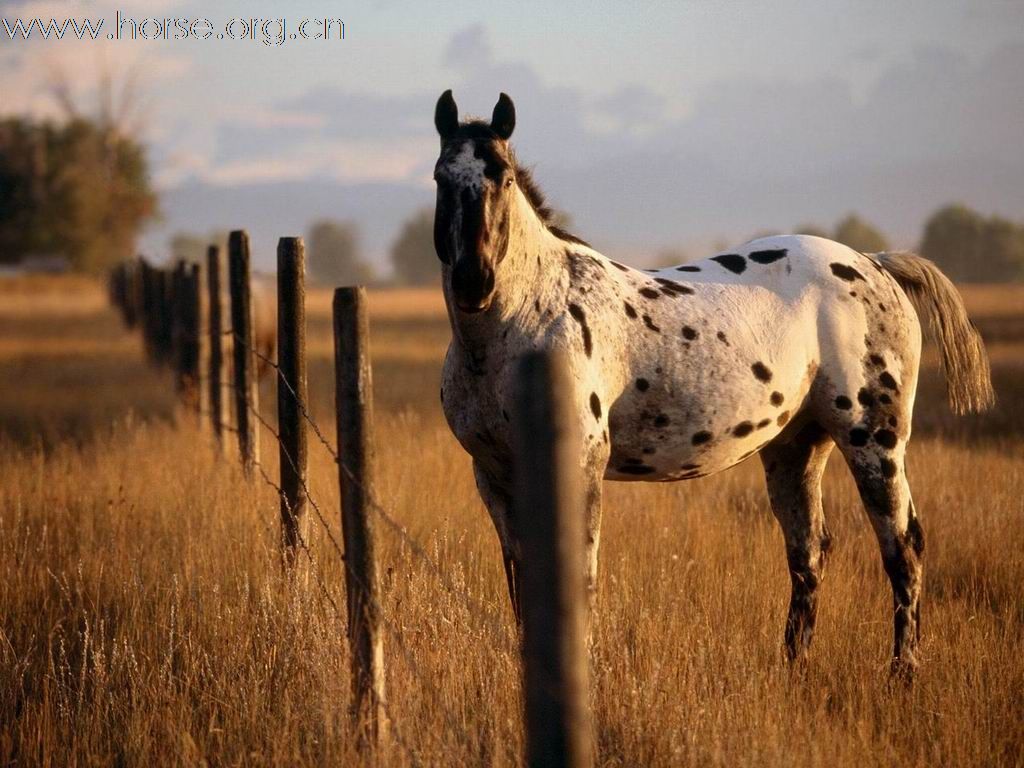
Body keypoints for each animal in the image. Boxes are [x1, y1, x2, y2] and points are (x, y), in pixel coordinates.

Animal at [432, 91, 991, 679]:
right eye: (441, 177)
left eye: (503, 178)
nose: (474, 282)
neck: (530, 318)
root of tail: (877, 264)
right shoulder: (495, 476)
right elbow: (520, 580)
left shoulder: (580, 467)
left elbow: (578, 575)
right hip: (796, 446)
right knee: (810, 551)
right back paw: (794, 666)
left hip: (874, 441)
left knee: (903, 547)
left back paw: (902, 673)